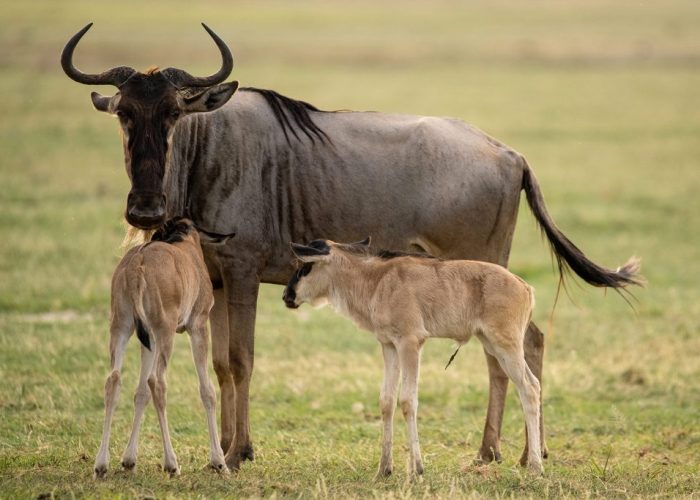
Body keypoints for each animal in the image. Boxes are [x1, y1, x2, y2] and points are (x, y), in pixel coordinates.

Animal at [93, 218, 232, 476]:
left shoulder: (148, 338)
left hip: (122, 327)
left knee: (114, 380)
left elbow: (140, 393)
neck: (184, 241)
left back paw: (100, 464)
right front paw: (219, 461)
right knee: (157, 382)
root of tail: (137, 264)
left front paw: (129, 459)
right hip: (165, 331)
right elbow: (207, 390)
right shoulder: (198, 327)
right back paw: (171, 463)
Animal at [282, 239, 544, 476]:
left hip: (506, 346)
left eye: (305, 266)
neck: (377, 281)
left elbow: (408, 401)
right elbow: (387, 401)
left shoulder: (410, 343)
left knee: (529, 388)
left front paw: (416, 468)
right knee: (531, 385)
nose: (286, 296)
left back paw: (535, 466)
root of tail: (525, 286)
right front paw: (384, 469)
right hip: (494, 345)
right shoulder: (389, 345)